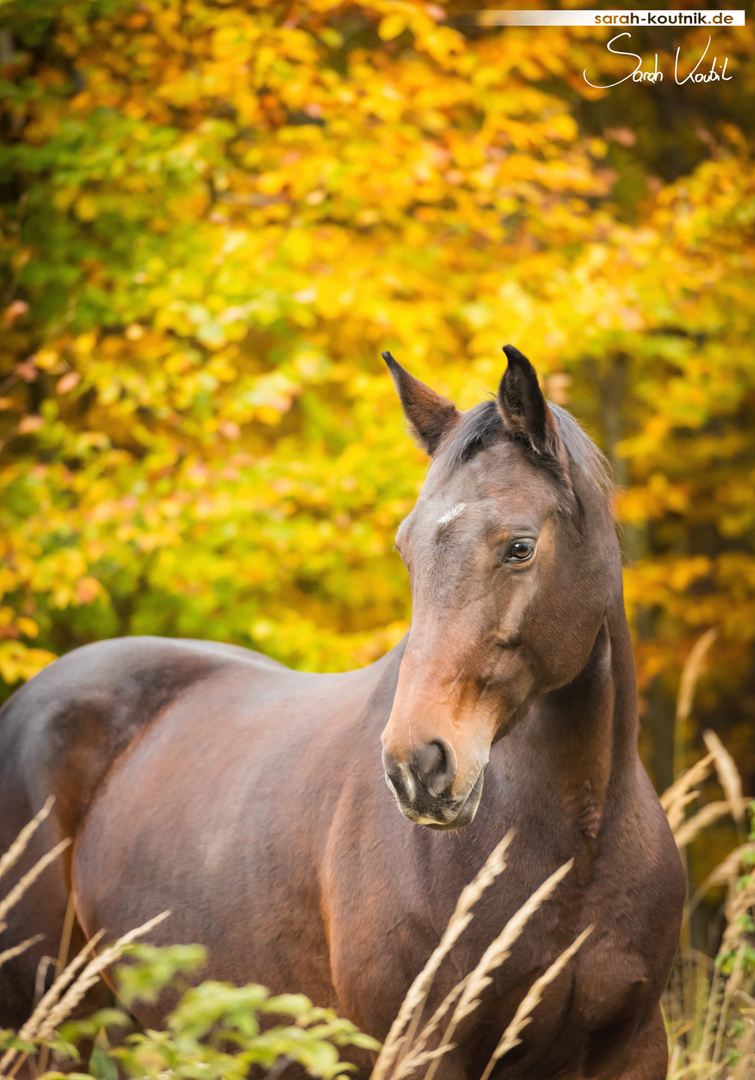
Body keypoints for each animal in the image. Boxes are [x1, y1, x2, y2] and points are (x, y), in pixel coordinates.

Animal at [0, 347, 686, 1080]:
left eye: (520, 546)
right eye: (406, 548)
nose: (417, 766)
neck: (577, 846)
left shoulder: (635, 1047)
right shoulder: (420, 1048)